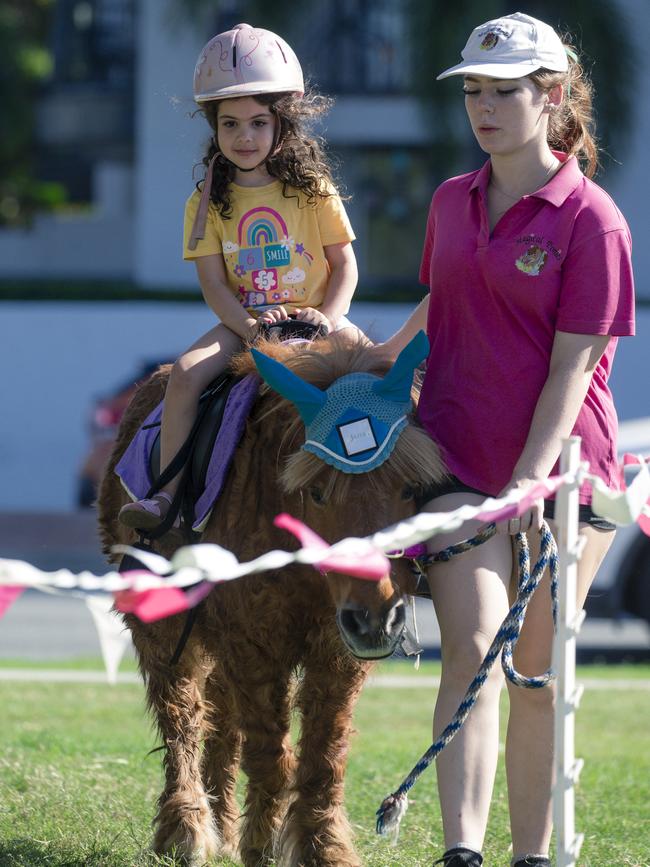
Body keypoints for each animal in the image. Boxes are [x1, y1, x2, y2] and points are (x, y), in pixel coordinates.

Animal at [96, 334, 442, 867]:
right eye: (317, 492)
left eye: (409, 488)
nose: (376, 620)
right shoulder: (255, 642)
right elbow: (269, 754)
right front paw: (262, 845)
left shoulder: (335, 653)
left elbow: (324, 754)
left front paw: (323, 847)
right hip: (165, 628)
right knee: (183, 720)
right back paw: (186, 828)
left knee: (220, 727)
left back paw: (221, 824)